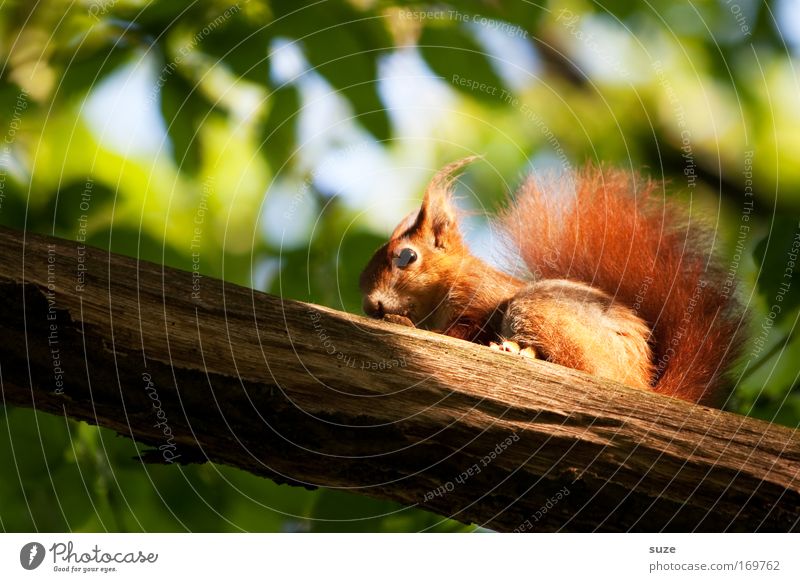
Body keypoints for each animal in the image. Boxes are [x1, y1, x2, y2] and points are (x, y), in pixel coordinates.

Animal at [358, 157, 744, 408]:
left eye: (406, 257)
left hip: (540, 310)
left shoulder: (481, 300)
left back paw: (518, 350)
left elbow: (462, 331)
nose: (370, 304)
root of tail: (640, 382)